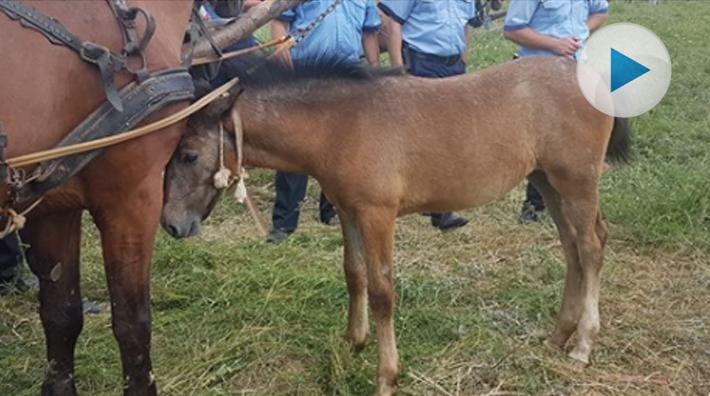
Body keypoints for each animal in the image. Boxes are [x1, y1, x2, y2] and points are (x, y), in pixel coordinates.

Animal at [163, 57, 636, 394]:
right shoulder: (348, 210)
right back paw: (558, 336)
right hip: (547, 181)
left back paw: (582, 344)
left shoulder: (377, 214)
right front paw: (353, 343)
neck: (341, 125)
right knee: (573, 248)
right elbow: (354, 274)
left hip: (576, 181)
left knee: (591, 247)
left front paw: (386, 376)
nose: (170, 225)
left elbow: (382, 291)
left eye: (188, 154)